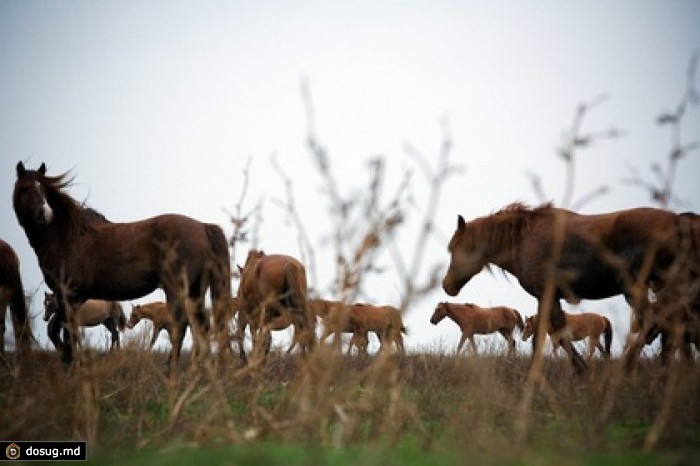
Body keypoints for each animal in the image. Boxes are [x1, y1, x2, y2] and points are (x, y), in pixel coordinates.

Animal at [13, 162, 232, 370]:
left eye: (45, 190)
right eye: (24, 188)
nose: (44, 214)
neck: (68, 237)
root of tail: (203, 227)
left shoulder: (68, 294)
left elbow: (65, 332)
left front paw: (72, 365)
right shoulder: (71, 298)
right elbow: (61, 331)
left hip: (176, 289)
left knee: (181, 325)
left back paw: (172, 369)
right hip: (196, 290)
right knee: (202, 325)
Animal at [442, 202, 696, 374]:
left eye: (454, 248)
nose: (447, 286)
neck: (523, 240)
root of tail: (681, 222)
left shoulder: (545, 294)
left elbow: (551, 337)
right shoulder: (550, 298)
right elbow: (555, 336)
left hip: (636, 287)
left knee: (656, 323)